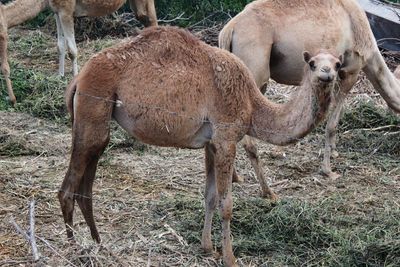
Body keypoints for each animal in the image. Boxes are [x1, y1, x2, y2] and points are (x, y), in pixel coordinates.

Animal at [57, 26, 346, 267]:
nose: (327, 74)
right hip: (93, 107)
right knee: (68, 189)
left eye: (337, 63)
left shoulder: (211, 143)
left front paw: (207, 247)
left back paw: (98, 244)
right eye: (312, 63)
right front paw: (230, 257)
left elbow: (209, 196)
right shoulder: (226, 138)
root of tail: (79, 78)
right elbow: (226, 203)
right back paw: (74, 249)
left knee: (86, 185)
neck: (252, 104)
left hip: (97, 120)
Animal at [219, 0, 400, 197]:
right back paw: (268, 192)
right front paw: (328, 170)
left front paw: (334, 153)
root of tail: (229, 30)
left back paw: (235, 178)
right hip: (256, 71)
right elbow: (331, 125)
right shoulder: (350, 71)